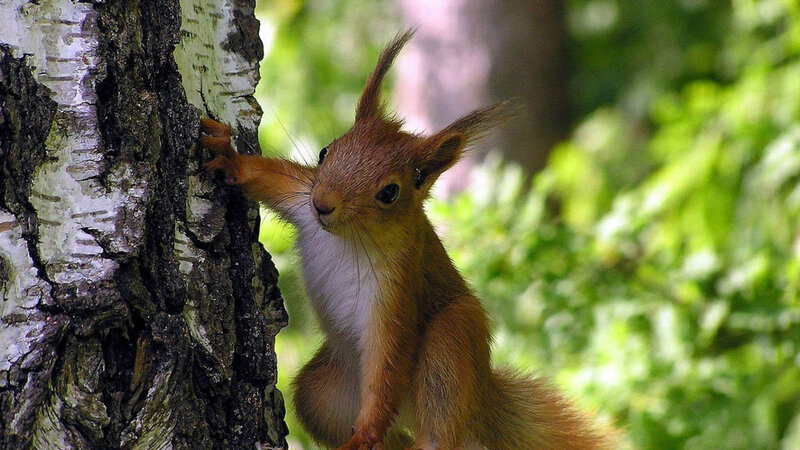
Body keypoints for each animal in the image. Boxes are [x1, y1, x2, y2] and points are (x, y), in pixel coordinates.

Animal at [201, 31, 612, 450]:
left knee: (437, 426)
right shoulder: (301, 196)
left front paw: (366, 432)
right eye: (325, 151)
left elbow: (388, 360)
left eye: (389, 193)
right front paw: (230, 158)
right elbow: (269, 178)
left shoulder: (397, 287)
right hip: (324, 393)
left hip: (452, 343)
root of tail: (482, 397)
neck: (347, 238)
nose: (323, 205)